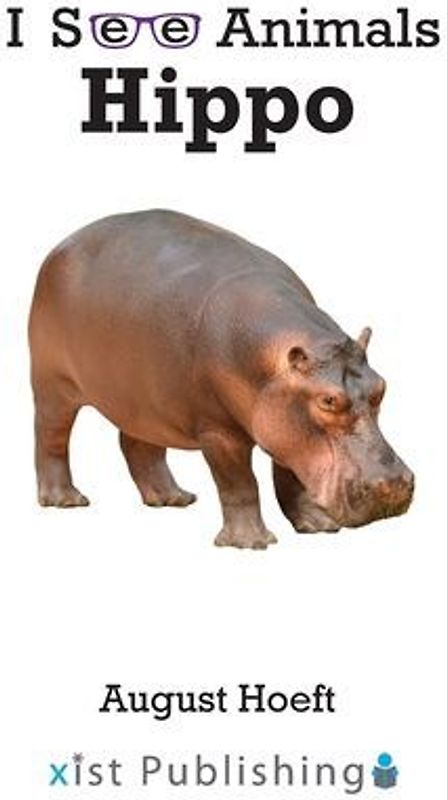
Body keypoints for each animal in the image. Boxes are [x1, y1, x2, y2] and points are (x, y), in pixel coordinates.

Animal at [29, 209, 414, 548]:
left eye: (382, 387)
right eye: (328, 400)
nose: (395, 483)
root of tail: (62, 244)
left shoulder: (284, 424)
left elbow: (290, 478)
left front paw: (317, 527)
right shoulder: (219, 431)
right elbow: (240, 484)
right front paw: (251, 543)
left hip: (142, 400)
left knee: (138, 444)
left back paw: (172, 498)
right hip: (53, 385)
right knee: (52, 437)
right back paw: (65, 500)